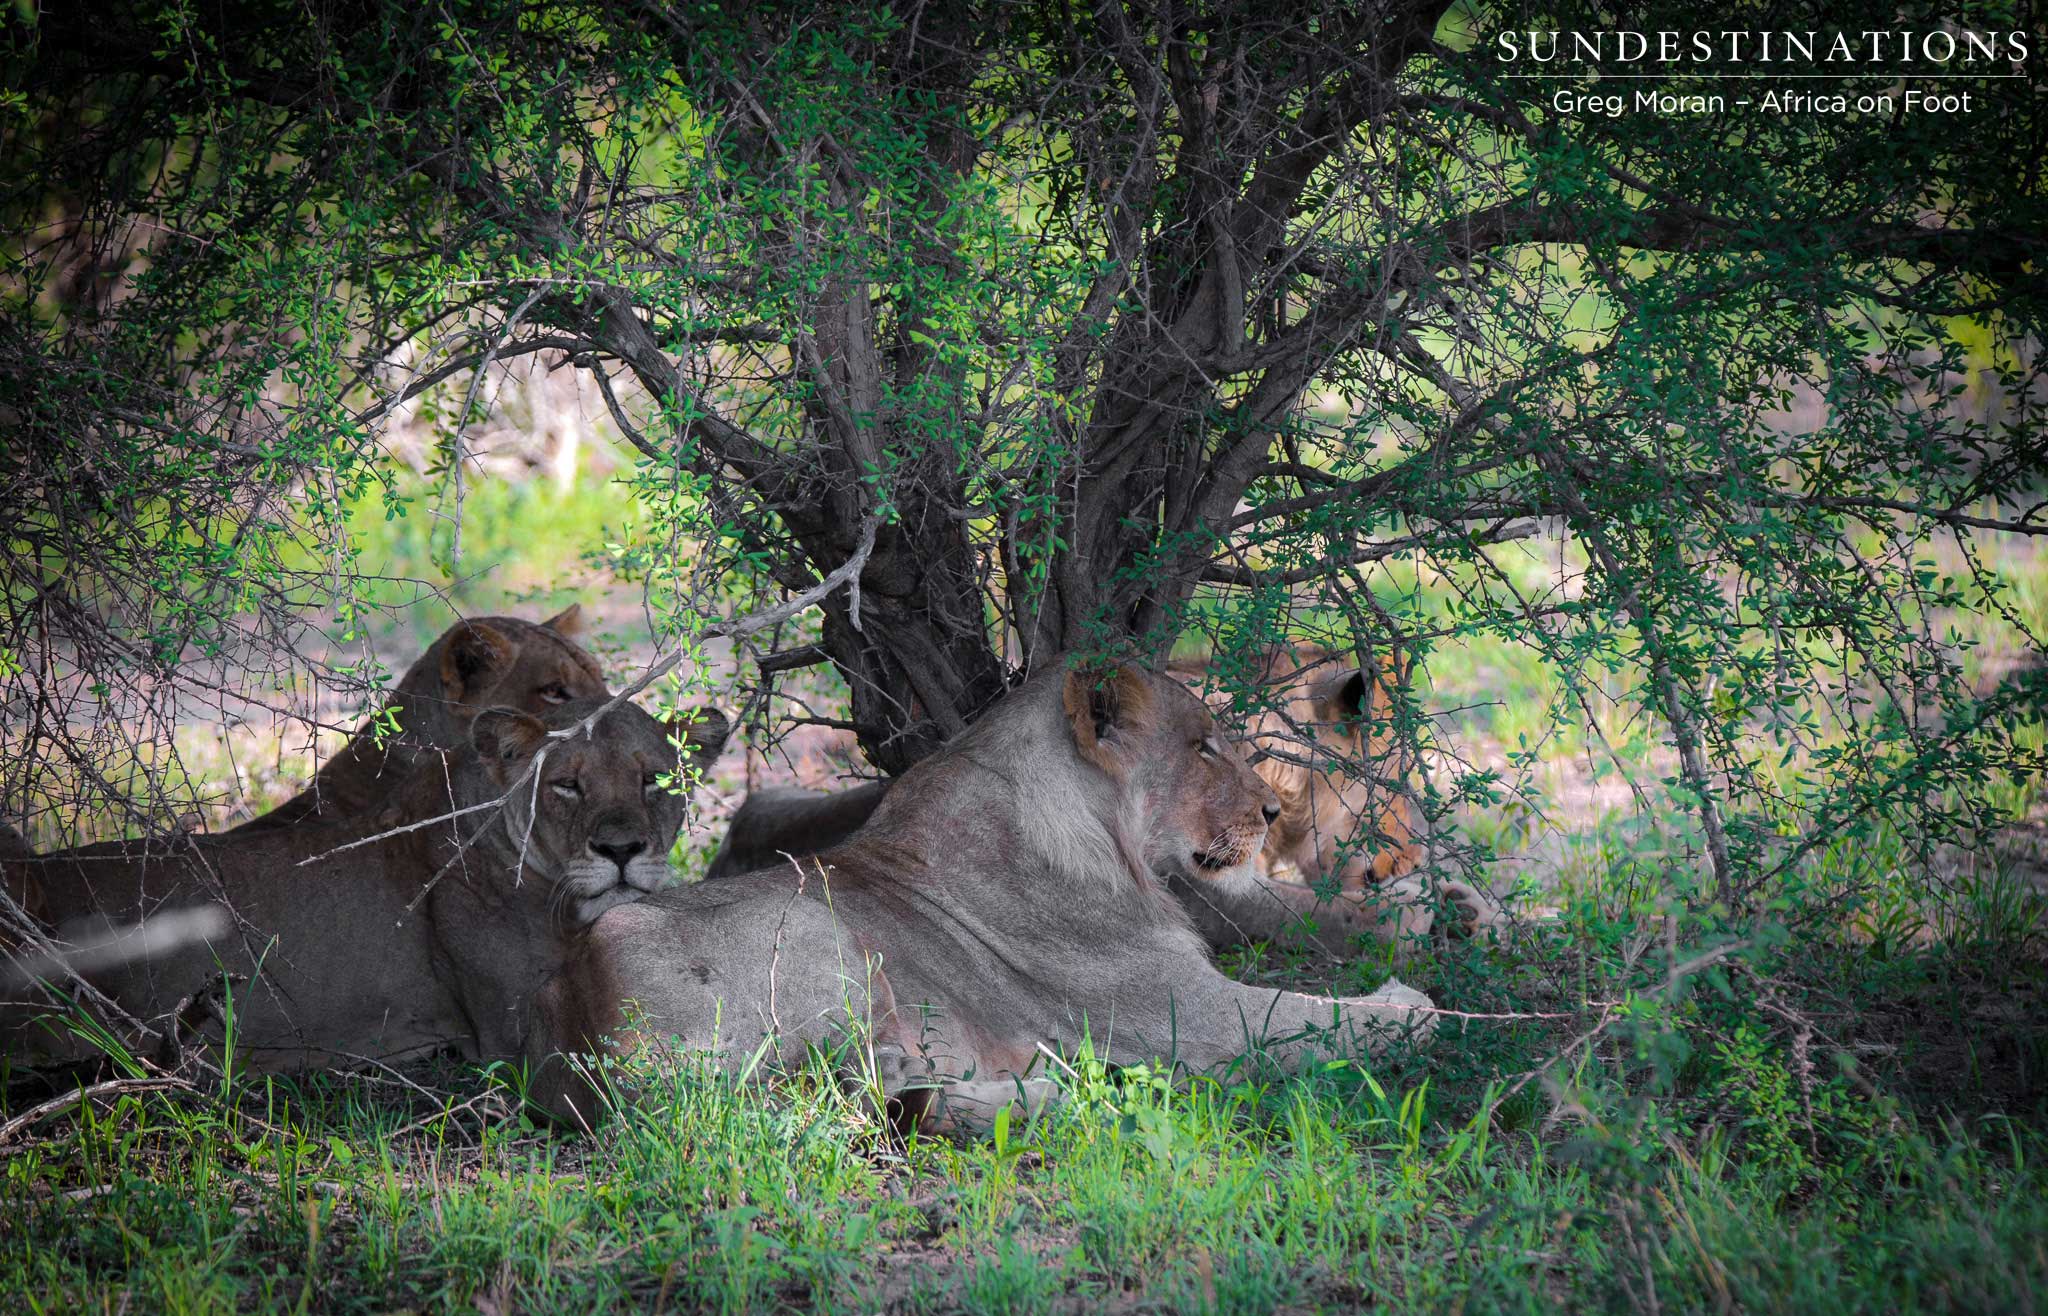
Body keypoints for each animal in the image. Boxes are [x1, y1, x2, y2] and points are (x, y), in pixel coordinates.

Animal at [527, 663, 1435, 1128]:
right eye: (1204, 747)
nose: (1272, 812)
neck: (1107, 841)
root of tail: (580, 1025)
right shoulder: (1189, 1014)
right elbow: (1324, 1019)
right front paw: (1414, 1003)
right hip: (823, 932)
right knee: (851, 1093)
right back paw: (1061, 1090)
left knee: (883, 1091)